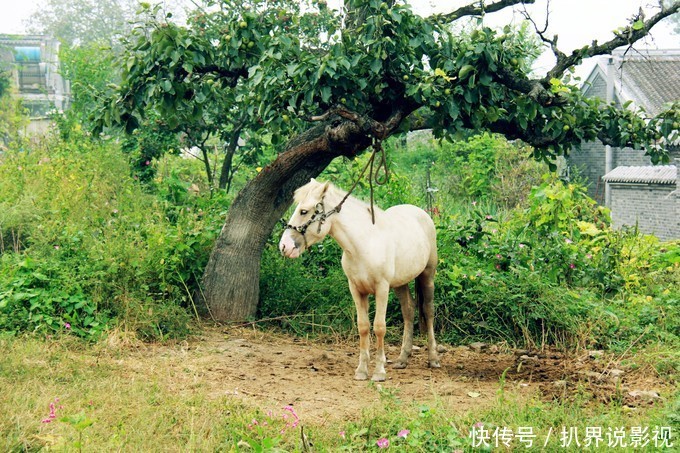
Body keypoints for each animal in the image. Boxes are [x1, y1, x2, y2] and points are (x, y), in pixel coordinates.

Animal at [278, 178, 440, 380]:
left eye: (304, 211)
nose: (284, 246)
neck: (364, 244)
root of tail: (421, 213)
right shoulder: (356, 290)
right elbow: (363, 326)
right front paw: (362, 370)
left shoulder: (382, 289)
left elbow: (379, 327)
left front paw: (379, 372)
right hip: (400, 283)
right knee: (408, 310)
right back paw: (402, 359)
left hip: (427, 275)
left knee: (428, 311)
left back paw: (433, 358)